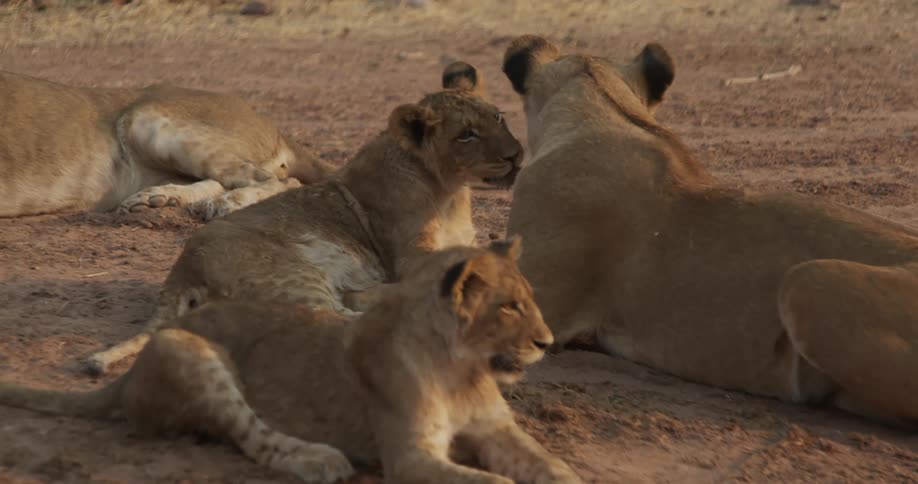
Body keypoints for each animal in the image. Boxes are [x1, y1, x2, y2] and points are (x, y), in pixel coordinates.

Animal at [0, 240, 582, 484]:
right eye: (510, 306)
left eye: (530, 299)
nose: (548, 342)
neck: (463, 368)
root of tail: (126, 381)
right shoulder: (410, 456)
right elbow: (493, 483)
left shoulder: (497, 431)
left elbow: (554, 468)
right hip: (188, 350)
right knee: (254, 438)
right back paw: (319, 459)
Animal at [83, 61, 524, 375]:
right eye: (466, 135)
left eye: (499, 117)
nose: (515, 155)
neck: (450, 192)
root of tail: (181, 272)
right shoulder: (409, 255)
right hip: (295, 277)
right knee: (342, 320)